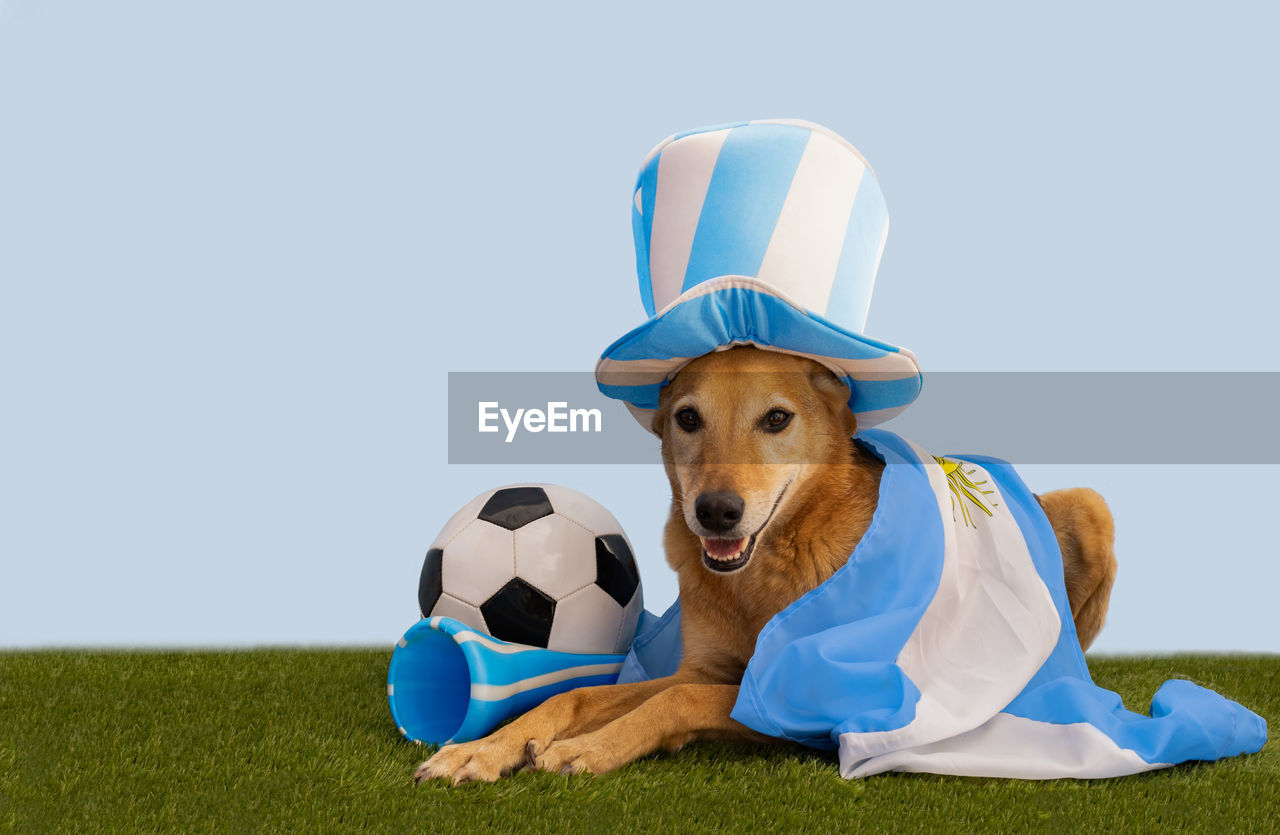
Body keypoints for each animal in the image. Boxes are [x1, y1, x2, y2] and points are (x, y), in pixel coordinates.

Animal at [414, 343, 1116, 783]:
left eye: (777, 418)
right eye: (687, 418)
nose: (716, 512)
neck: (762, 577)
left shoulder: (808, 702)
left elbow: (678, 704)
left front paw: (589, 747)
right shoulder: (704, 668)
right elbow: (582, 692)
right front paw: (484, 749)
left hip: (1090, 506)